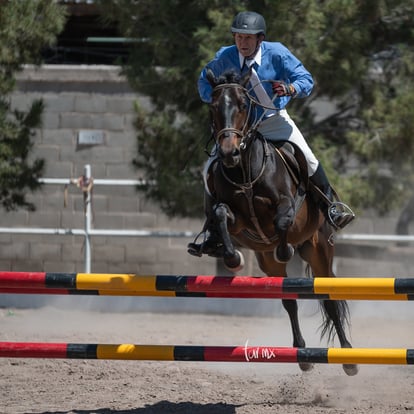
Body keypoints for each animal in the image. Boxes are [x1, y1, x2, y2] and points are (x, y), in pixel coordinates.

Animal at [196, 68, 358, 376]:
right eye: (212, 107)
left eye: (243, 105)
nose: (228, 153)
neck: (245, 171)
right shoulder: (236, 220)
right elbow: (221, 214)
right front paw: (232, 258)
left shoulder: (286, 206)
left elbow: (283, 220)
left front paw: (284, 248)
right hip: (269, 263)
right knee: (288, 300)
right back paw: (303, 355)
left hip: (320, 250)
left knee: (329, 301)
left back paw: (348, 358)